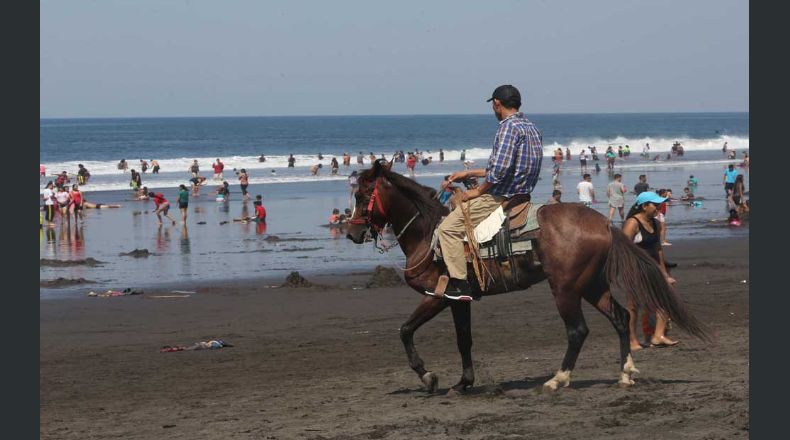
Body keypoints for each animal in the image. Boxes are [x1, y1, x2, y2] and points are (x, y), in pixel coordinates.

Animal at [346, 161, 712, 396]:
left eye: (362, 197)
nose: (352, 233)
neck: (429, 233)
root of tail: (604, 224)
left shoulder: (437, 296)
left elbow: (405, 331)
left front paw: (429, 377)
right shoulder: (459, 300)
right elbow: (464, 340)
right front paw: (463, 382)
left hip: (565, 289)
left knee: (578, 331)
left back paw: (558, 380)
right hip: (592, 286)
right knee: (620, 318)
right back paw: (625, 374)